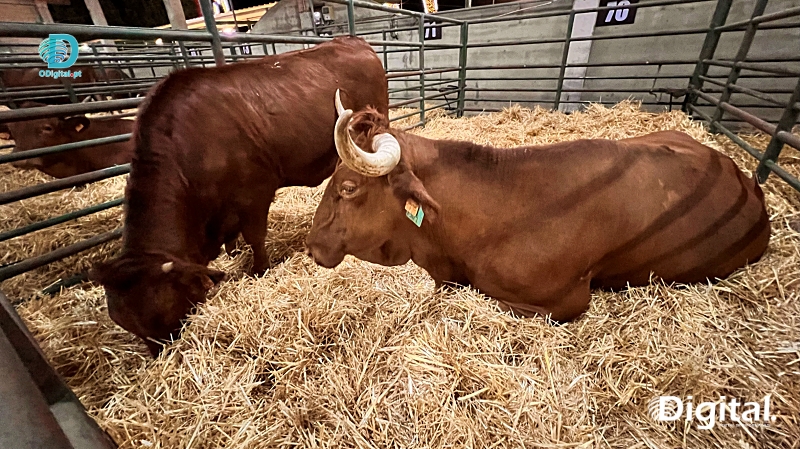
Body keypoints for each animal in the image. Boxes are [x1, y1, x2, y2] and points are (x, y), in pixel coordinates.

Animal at [88, 37, 389, 356]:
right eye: (125, 322)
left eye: (163, 313)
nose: (161, 357)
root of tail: (352, 41)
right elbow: (232, 239)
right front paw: (232, 255)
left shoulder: (254, 194)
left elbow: (255, 236)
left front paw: (259, 270)